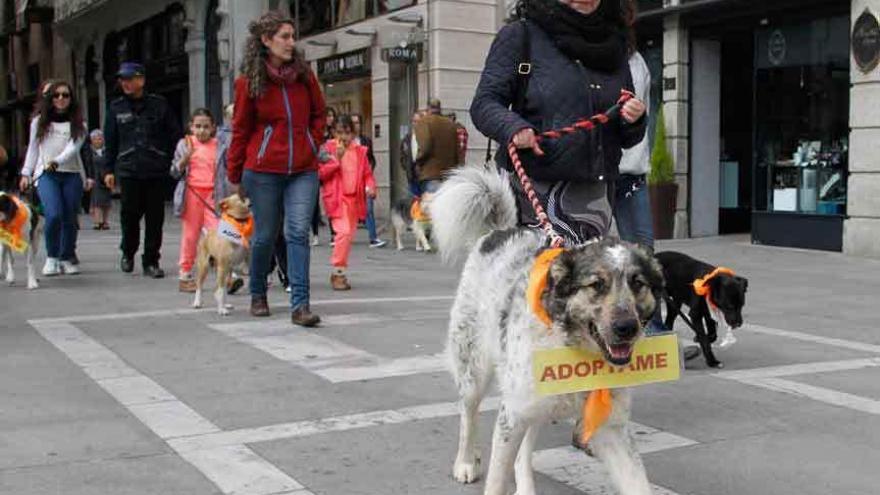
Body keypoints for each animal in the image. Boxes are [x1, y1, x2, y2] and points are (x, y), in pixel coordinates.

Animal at [430, 169, 664, 495]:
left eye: (638, 283)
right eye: (596, 285)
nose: (626, 328)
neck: (573, 346)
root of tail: (499, 232)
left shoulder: (612, 429)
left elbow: (637, 483)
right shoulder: (511, 416)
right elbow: (497, 478)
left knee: (524, 447)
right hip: (474, 367)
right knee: (468, 413)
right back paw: (465, 461)